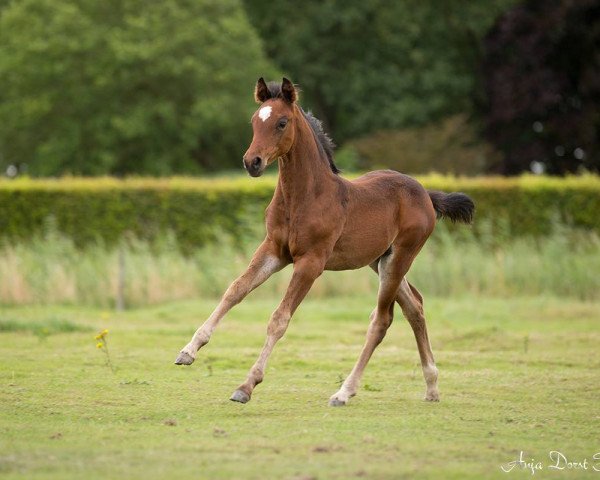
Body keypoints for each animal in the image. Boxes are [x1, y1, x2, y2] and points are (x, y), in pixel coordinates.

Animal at [173, 79, 474, 404]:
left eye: (282, 122)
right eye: (254, 121)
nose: (252, 162)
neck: (304, 197)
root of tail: (426, 194)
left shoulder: (311, 262)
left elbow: (279, 318)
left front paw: (246, 385)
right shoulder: (274, 250)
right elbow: (235, 291)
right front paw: (188, 351)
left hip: (400, 258)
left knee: (382, 320)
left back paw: (344, 392)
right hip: (380, 261)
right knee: (415, 307)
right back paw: (431, 387)